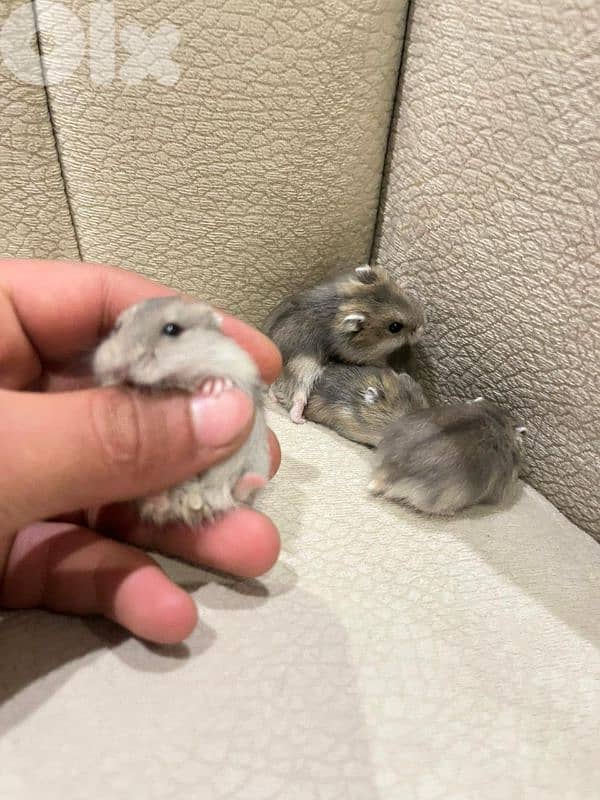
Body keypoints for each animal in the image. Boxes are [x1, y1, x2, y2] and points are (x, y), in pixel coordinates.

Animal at [93, 297, 270, 526]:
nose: (120, 366)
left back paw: (250, 481)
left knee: (240, 491)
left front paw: (214, 387)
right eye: (118, 327)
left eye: (172, 329)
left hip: (257, 459)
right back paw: (158, 495)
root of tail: (194, 503)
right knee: (158, 506)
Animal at [264, 264, 425, 424]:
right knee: (298, 396)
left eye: (403, 296)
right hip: (304, 368)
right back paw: (300, 419)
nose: (421, 328)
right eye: (394, 327)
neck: (344, 301)